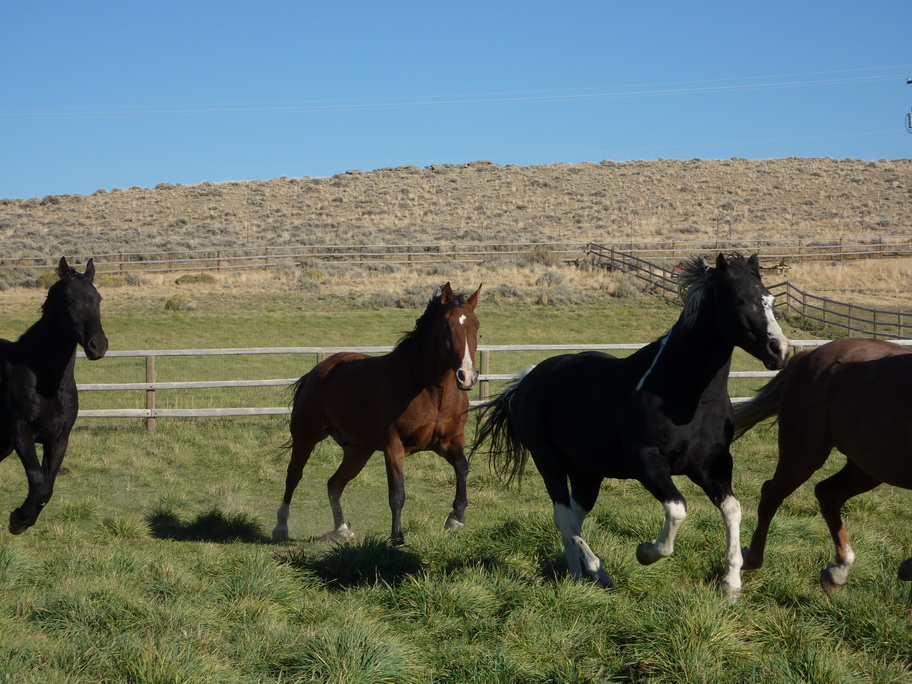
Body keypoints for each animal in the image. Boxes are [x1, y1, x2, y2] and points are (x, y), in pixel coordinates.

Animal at [0, 257, 108, 534]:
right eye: (70, 299)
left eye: (98, 298)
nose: (98, 346)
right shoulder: (20, 431)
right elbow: (37, 479)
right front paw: (18, 519)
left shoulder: (59, 438)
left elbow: (46, 489)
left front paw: (24, 520)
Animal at [272, 282, 481, 546]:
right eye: (446, 325)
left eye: (476, 326)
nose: (466, 376)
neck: (432, 392)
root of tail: (316, 372)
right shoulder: (394, 447)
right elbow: (397, 493)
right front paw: (397, 538)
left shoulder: (447, 442)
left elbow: (462, 468)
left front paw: (455, 519)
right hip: (306, 437)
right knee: (293, 476)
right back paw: (280, 528)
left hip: (358, 450)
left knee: (334, 484)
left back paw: (342, 529)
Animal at [472, 253, 789, 598]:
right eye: (738, 299)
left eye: (770, 300)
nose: (780, 350)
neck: (685, 395)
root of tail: (525, 382)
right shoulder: (647, 463)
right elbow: (677, 509)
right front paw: (646, 552)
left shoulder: (712, 466)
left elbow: (732, 509)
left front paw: (731, 584)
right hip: (548, 462)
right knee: (564, 519)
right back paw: (598, 572)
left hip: (586, 472)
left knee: (573, 518)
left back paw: (576, 578)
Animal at [734, 337, 912, 611]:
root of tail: (808, 355)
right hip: (805, 451)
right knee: (772, 494)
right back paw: (752, 559)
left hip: (871, 465)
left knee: (827, 493)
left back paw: (837, 573)